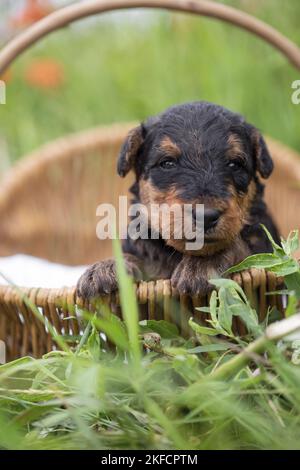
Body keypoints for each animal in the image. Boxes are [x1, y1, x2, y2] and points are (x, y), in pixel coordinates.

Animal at [77, 102, 278, 298]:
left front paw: (200, 266)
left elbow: (239, 248)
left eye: (235, 164)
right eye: (167, 163)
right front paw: (104, 269)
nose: (206, 216)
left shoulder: (264, 245)